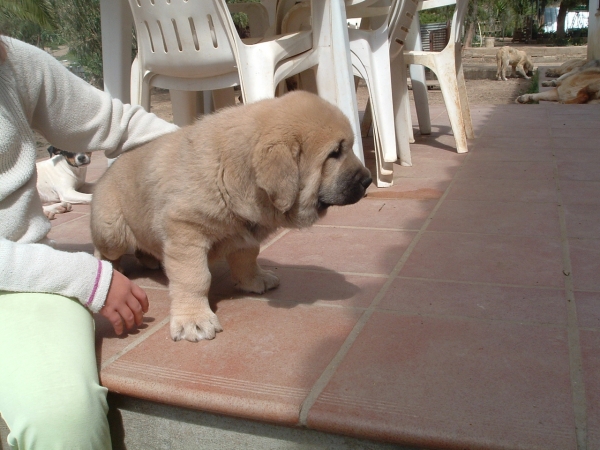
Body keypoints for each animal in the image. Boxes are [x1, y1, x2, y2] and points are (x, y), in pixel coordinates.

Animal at [89, 92, 372, 344]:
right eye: (335, 153)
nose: (368, 180)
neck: (231, 171)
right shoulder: (185, 231)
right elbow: (195, 278)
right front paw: (193, 319)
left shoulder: (244, 233)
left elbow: (247, 256)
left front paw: (254, 279)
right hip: (112, 232)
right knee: (104, 250)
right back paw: (111, 270)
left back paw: (151, 259)